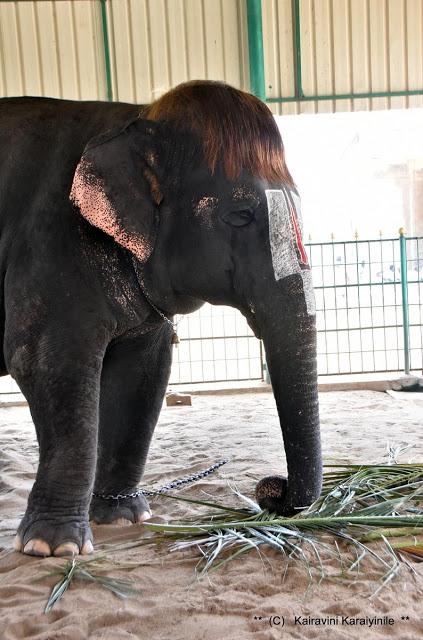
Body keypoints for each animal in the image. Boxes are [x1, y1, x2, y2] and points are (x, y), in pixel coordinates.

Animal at [0, 80, 322, 556]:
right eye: (241, 216)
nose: (272, 489)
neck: (137, 117)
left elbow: (144, 373)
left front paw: (123, 517)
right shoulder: (50, 243)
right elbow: (45, 362)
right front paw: (54, 547)